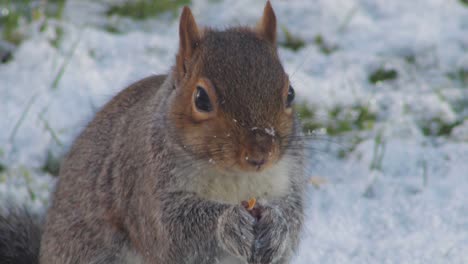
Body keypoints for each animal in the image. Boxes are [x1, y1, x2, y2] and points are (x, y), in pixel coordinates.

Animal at [0, 1, 306, 262]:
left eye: (290, 93)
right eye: (201, 99)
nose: (261, 153)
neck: (233, 178)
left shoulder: (286, 178)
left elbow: (293, 216)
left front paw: (278, 226)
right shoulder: (145, 184)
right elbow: (173, 232)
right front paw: (229, 222)